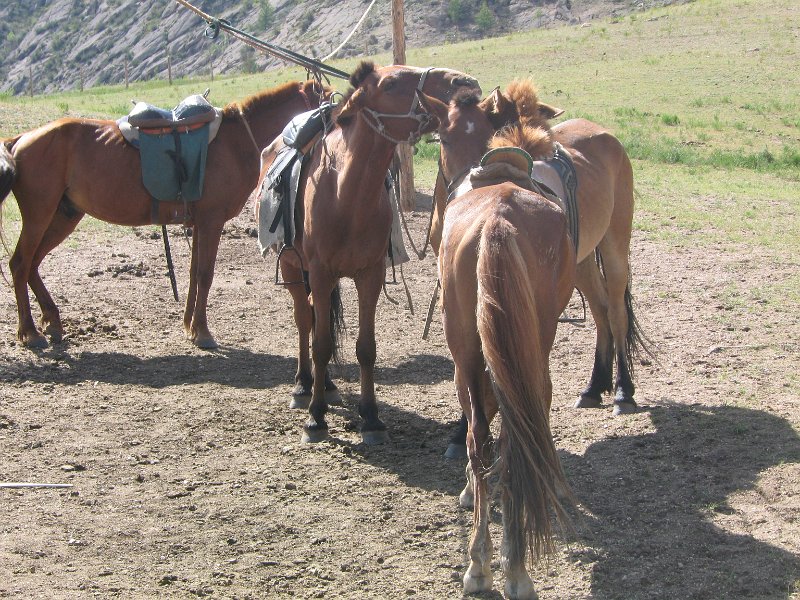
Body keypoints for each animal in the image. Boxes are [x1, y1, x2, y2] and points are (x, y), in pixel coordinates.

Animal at [0, 80, 330, 352]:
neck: (236, 142)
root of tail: (20, 139)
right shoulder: (211, 222)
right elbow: (205, 274)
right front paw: (203, 332)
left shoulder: (200, 224)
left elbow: (194, 274)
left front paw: (190, 328)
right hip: (40, 215)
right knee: (20, 264)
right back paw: (30, 332)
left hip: (64, 216)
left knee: (32, 264)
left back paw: (52, 321)